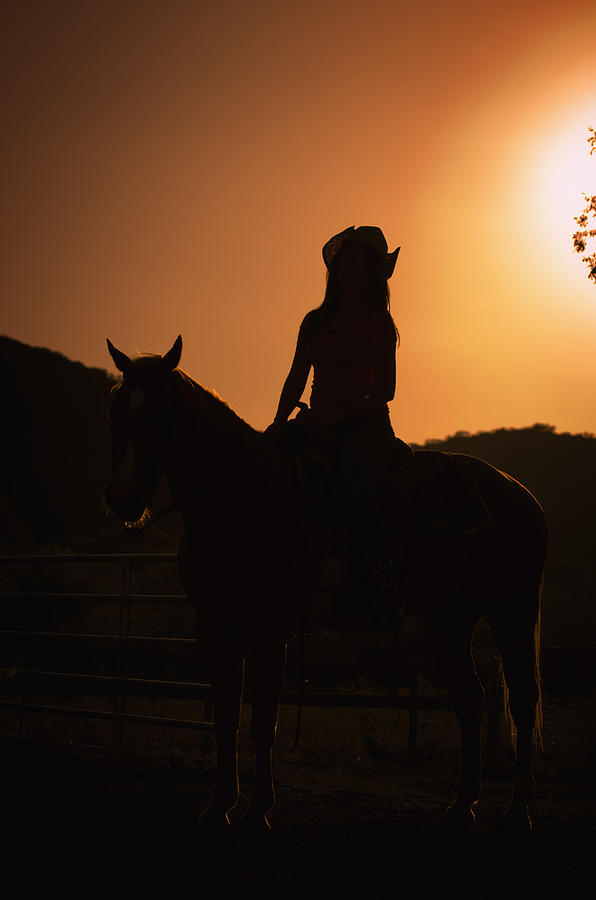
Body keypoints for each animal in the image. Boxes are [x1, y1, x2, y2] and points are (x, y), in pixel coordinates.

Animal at [105, 336, 548, 836]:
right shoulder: (215, 627)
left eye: (163, 411)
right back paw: (461, 806)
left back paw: (517, 811)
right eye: (116, 410)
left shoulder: (269, 631)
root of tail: (520, 493)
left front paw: (258, 811)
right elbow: (225, 718)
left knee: (522, 701)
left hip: (511, 610)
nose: (123, 499)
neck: (242, 498)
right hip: (450, 618)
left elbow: (263, 722)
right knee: (470, 699)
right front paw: (219, 808)